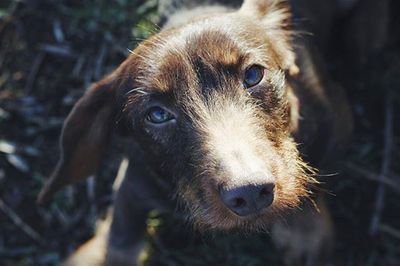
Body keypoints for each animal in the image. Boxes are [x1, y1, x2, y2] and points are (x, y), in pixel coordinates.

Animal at [36, 1, 352, 264]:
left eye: (253, 74)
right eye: (157, 115)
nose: (249, 193)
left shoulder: (334, 120)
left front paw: (305, 232)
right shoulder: (136, 178)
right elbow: (122, 235)